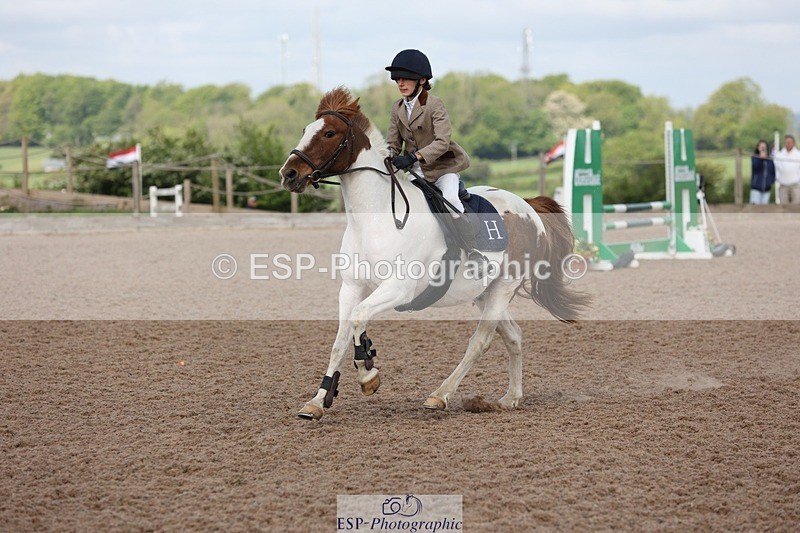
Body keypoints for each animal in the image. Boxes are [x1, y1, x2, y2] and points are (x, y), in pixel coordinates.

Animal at [279, 87, 590, 420]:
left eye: (329, 133)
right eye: (305, 130)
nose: (289, 174)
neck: (375, 219)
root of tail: (527, 205)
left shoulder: (398, 288)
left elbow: (359, 318)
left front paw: (368, 375)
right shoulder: (350, 288)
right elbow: (340, 340)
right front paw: (317, 400)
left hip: (504, 287)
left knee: (480, 341)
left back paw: (440, 395)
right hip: (485, 292)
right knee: (513, 335)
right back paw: (510, 398)